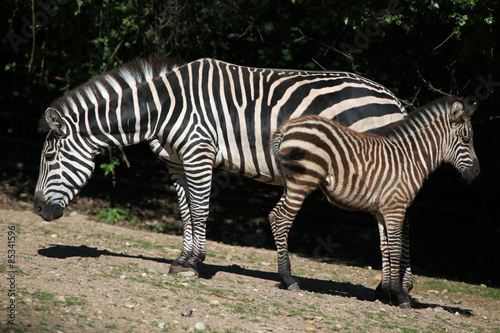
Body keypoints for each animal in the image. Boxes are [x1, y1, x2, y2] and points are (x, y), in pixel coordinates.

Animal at [34, 56, 406, 274]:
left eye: (49, 158)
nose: (37, 209)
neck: (162, 107)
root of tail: (392, 98)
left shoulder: (198, 152)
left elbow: (200, 210)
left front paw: (193, 262)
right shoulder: (175, 162)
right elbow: (185, 211)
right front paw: (183, 259)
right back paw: (391, 289)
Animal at [270, 95, 480, 306]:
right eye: (466, 139)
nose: (477, 171)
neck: (409, 160)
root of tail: (286, 128)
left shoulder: (381, 210)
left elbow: (384, 247)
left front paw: (386, 291)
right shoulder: (395, 208)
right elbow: (395, 247)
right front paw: (399, 294)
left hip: (289, 183)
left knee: (274, 215)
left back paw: (284, 277)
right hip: (302, 182)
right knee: (283, 220)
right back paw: (288, 278)